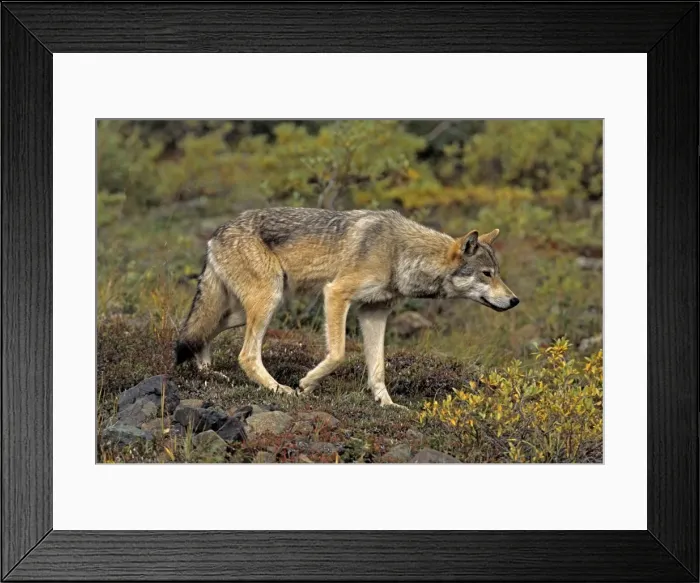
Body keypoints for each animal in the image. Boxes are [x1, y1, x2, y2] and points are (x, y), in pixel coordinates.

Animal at [175, 207, 519, 406]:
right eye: (487, 274)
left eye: (498, 273)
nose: (515, 300)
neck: (399, 253)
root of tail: (216, 233)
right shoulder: (336, 295)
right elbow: (338, 354)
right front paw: (307, 384)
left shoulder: (374, 312)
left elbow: (378, 367)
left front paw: (387, 404)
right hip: (267, 302)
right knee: (245, 355)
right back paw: (278, 389)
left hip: (246, 311)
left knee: (198, 331)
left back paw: (207, 372)